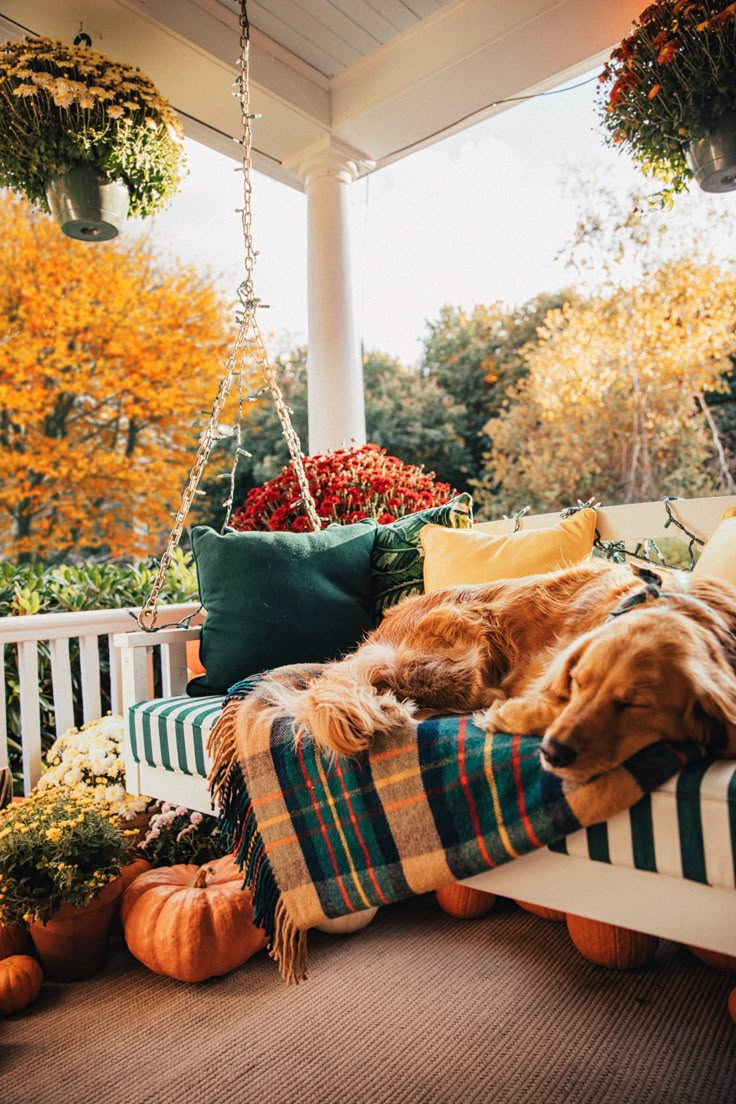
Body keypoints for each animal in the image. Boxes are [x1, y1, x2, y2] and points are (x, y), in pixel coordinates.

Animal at [273, 560, 736, 786]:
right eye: (578, 683)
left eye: (635, 705)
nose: (554, 753)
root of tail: (375, 636)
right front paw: (512, 715)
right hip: (465, 647)